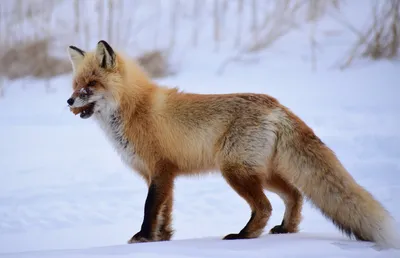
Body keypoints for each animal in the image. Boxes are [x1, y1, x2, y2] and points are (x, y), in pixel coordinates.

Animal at [67, 39, 398, 248]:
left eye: (91, 85)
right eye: (75, 85)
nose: (68, 101)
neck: (134, 109)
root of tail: (276, 104)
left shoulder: (160, 171)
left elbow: (150, 208)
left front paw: (144, 238)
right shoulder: (164, 175)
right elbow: (165, 212)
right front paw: (163, 240)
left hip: (235, 172)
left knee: (265, 206)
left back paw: (244, 236)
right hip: (264, 173)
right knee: (295, 195)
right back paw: (286, 230)